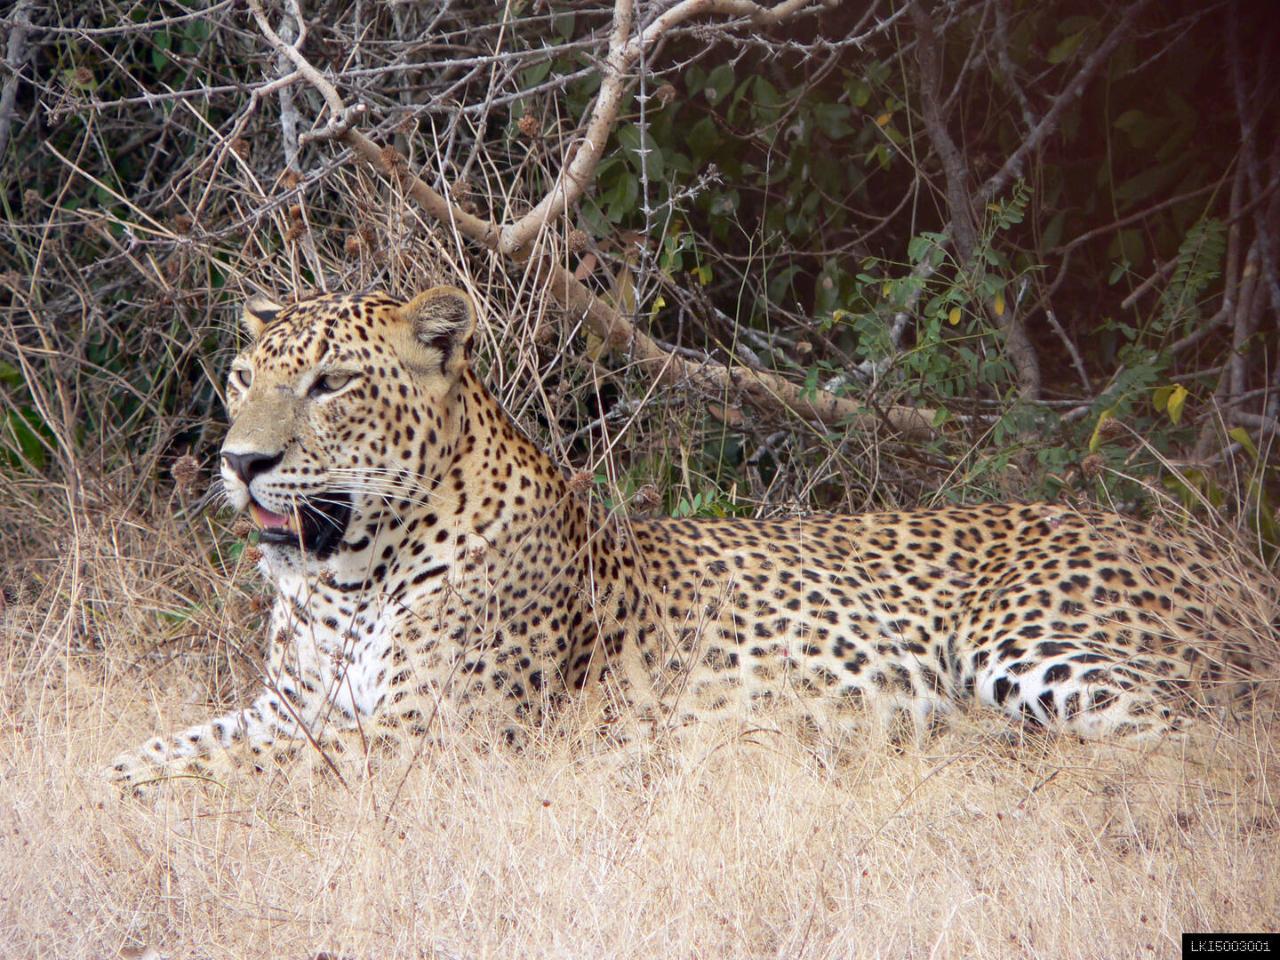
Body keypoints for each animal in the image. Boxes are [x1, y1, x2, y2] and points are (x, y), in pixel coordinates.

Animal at [107, 288, 1269, 798]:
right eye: (242, 377)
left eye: (332, 384)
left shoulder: (434, 736)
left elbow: (225, 770)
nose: (238, 462)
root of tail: (1231, 557)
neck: (345, 579)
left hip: (1028, 643)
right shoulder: (293, 707)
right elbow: (172, 746)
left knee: (1190, 741)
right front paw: (105, 779)